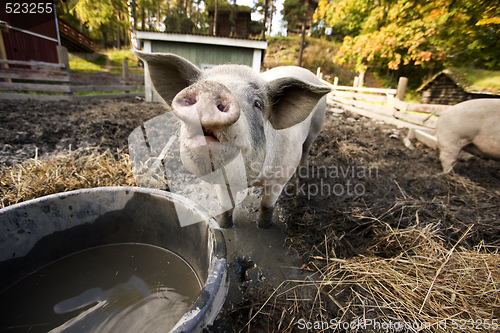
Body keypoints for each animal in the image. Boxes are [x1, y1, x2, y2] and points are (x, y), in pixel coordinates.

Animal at [136, 50, 332, 228]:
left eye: (257, 104)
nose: (212, 88)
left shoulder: (281, 176)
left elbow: (267, 205)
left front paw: (264, 227)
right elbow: (226, 206)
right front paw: (225, 226)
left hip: (316, 126)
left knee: (306, 150)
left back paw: (302, 179)